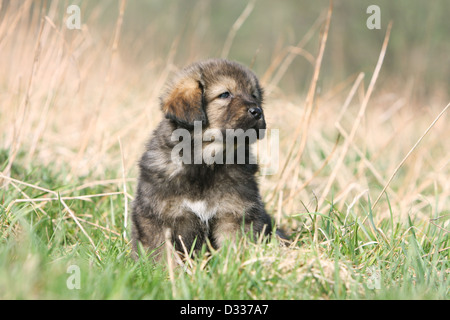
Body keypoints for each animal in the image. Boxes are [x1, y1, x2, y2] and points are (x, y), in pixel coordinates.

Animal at [130, 59, 284, 260]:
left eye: (254, 95)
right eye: (225, 94)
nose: (257, 111)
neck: (205, 161)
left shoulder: (234, 214)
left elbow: (234, 247)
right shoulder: (158, 218)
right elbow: (162, 254)